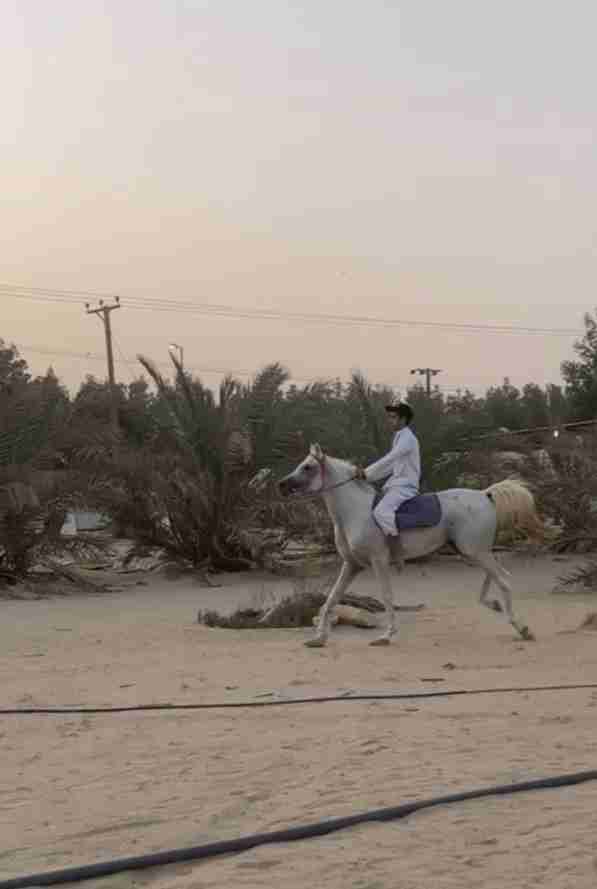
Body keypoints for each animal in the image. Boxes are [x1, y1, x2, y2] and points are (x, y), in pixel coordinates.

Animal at [278, 444, 544, 644]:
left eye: (308, 467)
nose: (281, 485)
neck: (354, 512)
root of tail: (485, 495)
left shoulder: (378, 561)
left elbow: (386, 596)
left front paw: (386, 635)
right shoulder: (352, 565)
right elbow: (332, 598)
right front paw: (319, 637)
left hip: (475, 552)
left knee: (504, 580)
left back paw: (522, 627)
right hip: (474, 552)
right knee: (495, 577)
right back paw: (496, 606)